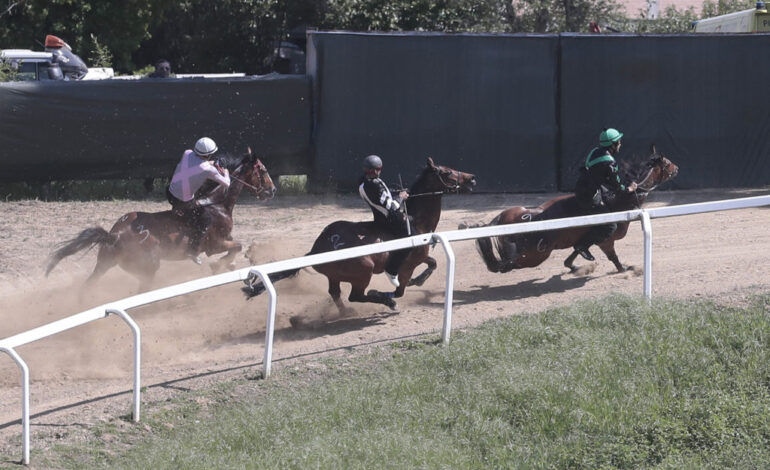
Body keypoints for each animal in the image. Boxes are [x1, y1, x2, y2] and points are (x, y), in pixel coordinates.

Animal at [45, 150, 276, 290]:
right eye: (264, 170)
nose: (272, 190)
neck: (216, 203)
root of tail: (115, 234)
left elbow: (236, 249)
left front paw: (229, 264)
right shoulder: (215, 244)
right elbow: (237, 247)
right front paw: (218, 265)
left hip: (105, 264)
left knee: (88, 286)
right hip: (148, 268)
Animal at [246, 156, 474, 314]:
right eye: (448, 173)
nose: (471, 178)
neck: (415, 221)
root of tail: (318, 249)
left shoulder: (418, 256)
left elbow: (433, 263)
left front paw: (417, 281)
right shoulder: (406, 265)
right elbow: (400, 289)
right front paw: (389, 294)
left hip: (335, 276)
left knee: (336, 293)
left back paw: (345, 312)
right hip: (363, 271)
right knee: (356, 296)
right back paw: (384, 302)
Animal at [472, 145, 676, 274]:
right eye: (666, 162)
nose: (677, 168)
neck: (618, 201)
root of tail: (503, 218)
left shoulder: (584, 239)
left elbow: (576, 252)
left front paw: (576, 267)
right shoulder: (606, 240)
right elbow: (614, 259)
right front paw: (627, 269)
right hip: (536, 255)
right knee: (506, 264)